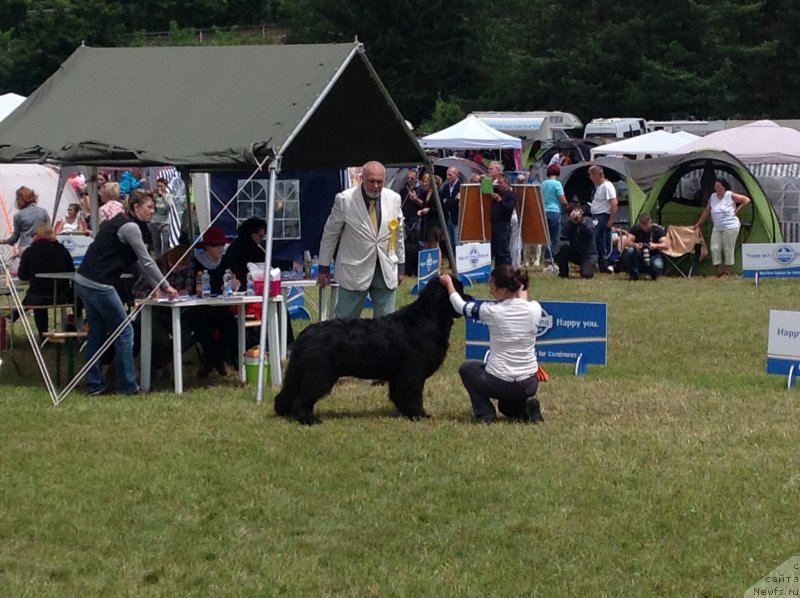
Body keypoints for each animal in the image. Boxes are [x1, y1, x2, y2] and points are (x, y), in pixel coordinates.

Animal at [276, 278, 468, 426]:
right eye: (458, 290)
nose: (470, 298)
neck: (429, 317)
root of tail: (306, 334)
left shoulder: (401, 376)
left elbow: (400, 395)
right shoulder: (412, 374)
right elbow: (413, 396)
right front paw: (418, 415)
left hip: (300, 372)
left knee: (288, 394)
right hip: (319, 374)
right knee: (303, 398)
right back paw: (308, 420)